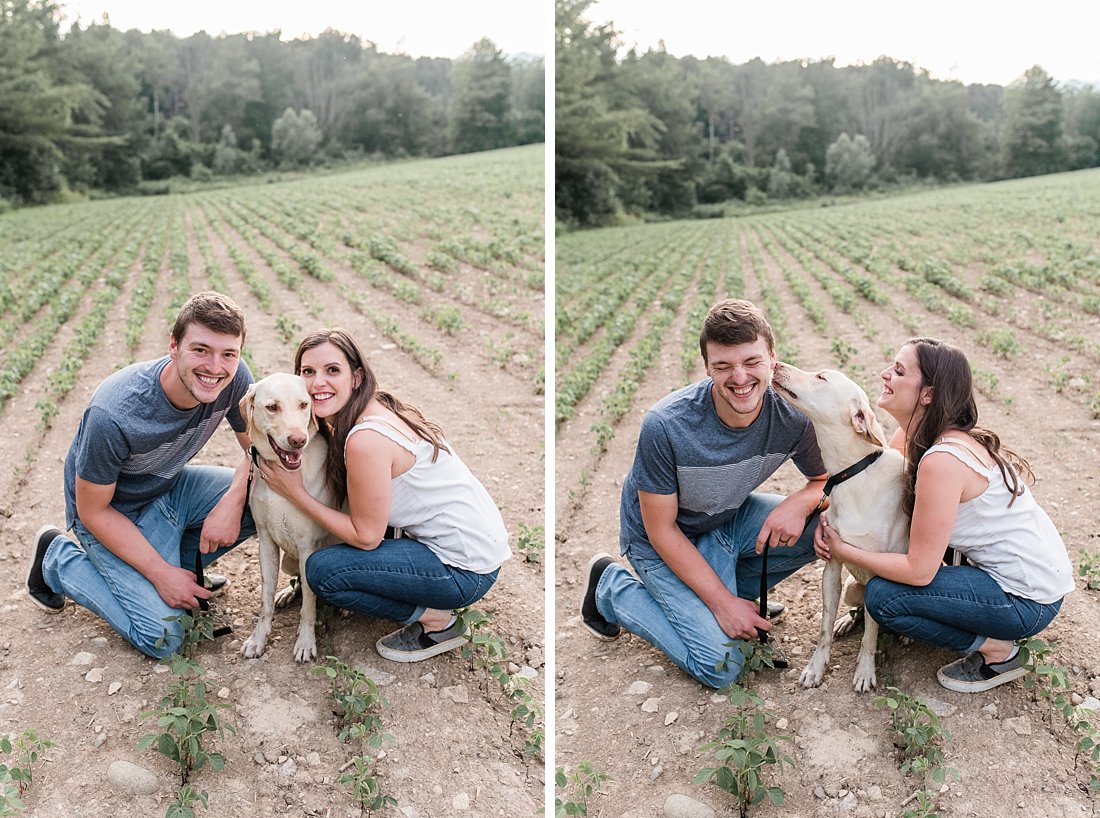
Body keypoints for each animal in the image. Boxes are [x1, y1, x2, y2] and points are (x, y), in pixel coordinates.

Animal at [243, 373, 336, 659]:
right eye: (272, 407)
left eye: (304, 404)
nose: (298, 440)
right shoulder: (265, 542)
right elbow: (265, 600)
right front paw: (258, 639)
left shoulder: (308, 549)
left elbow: (309, 604)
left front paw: (305, 643)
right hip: (288, 561)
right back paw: (286, 593)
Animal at [770, 362, 906, 690]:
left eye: (821, 377)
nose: (777, 364)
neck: (851, 474)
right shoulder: (831, 568)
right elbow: (824, 628)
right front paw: (816, 667)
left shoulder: (877, 575)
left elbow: (871, 634)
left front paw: (865, 671)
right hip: (851, 589)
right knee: (856, 611)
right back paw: (846, 622)